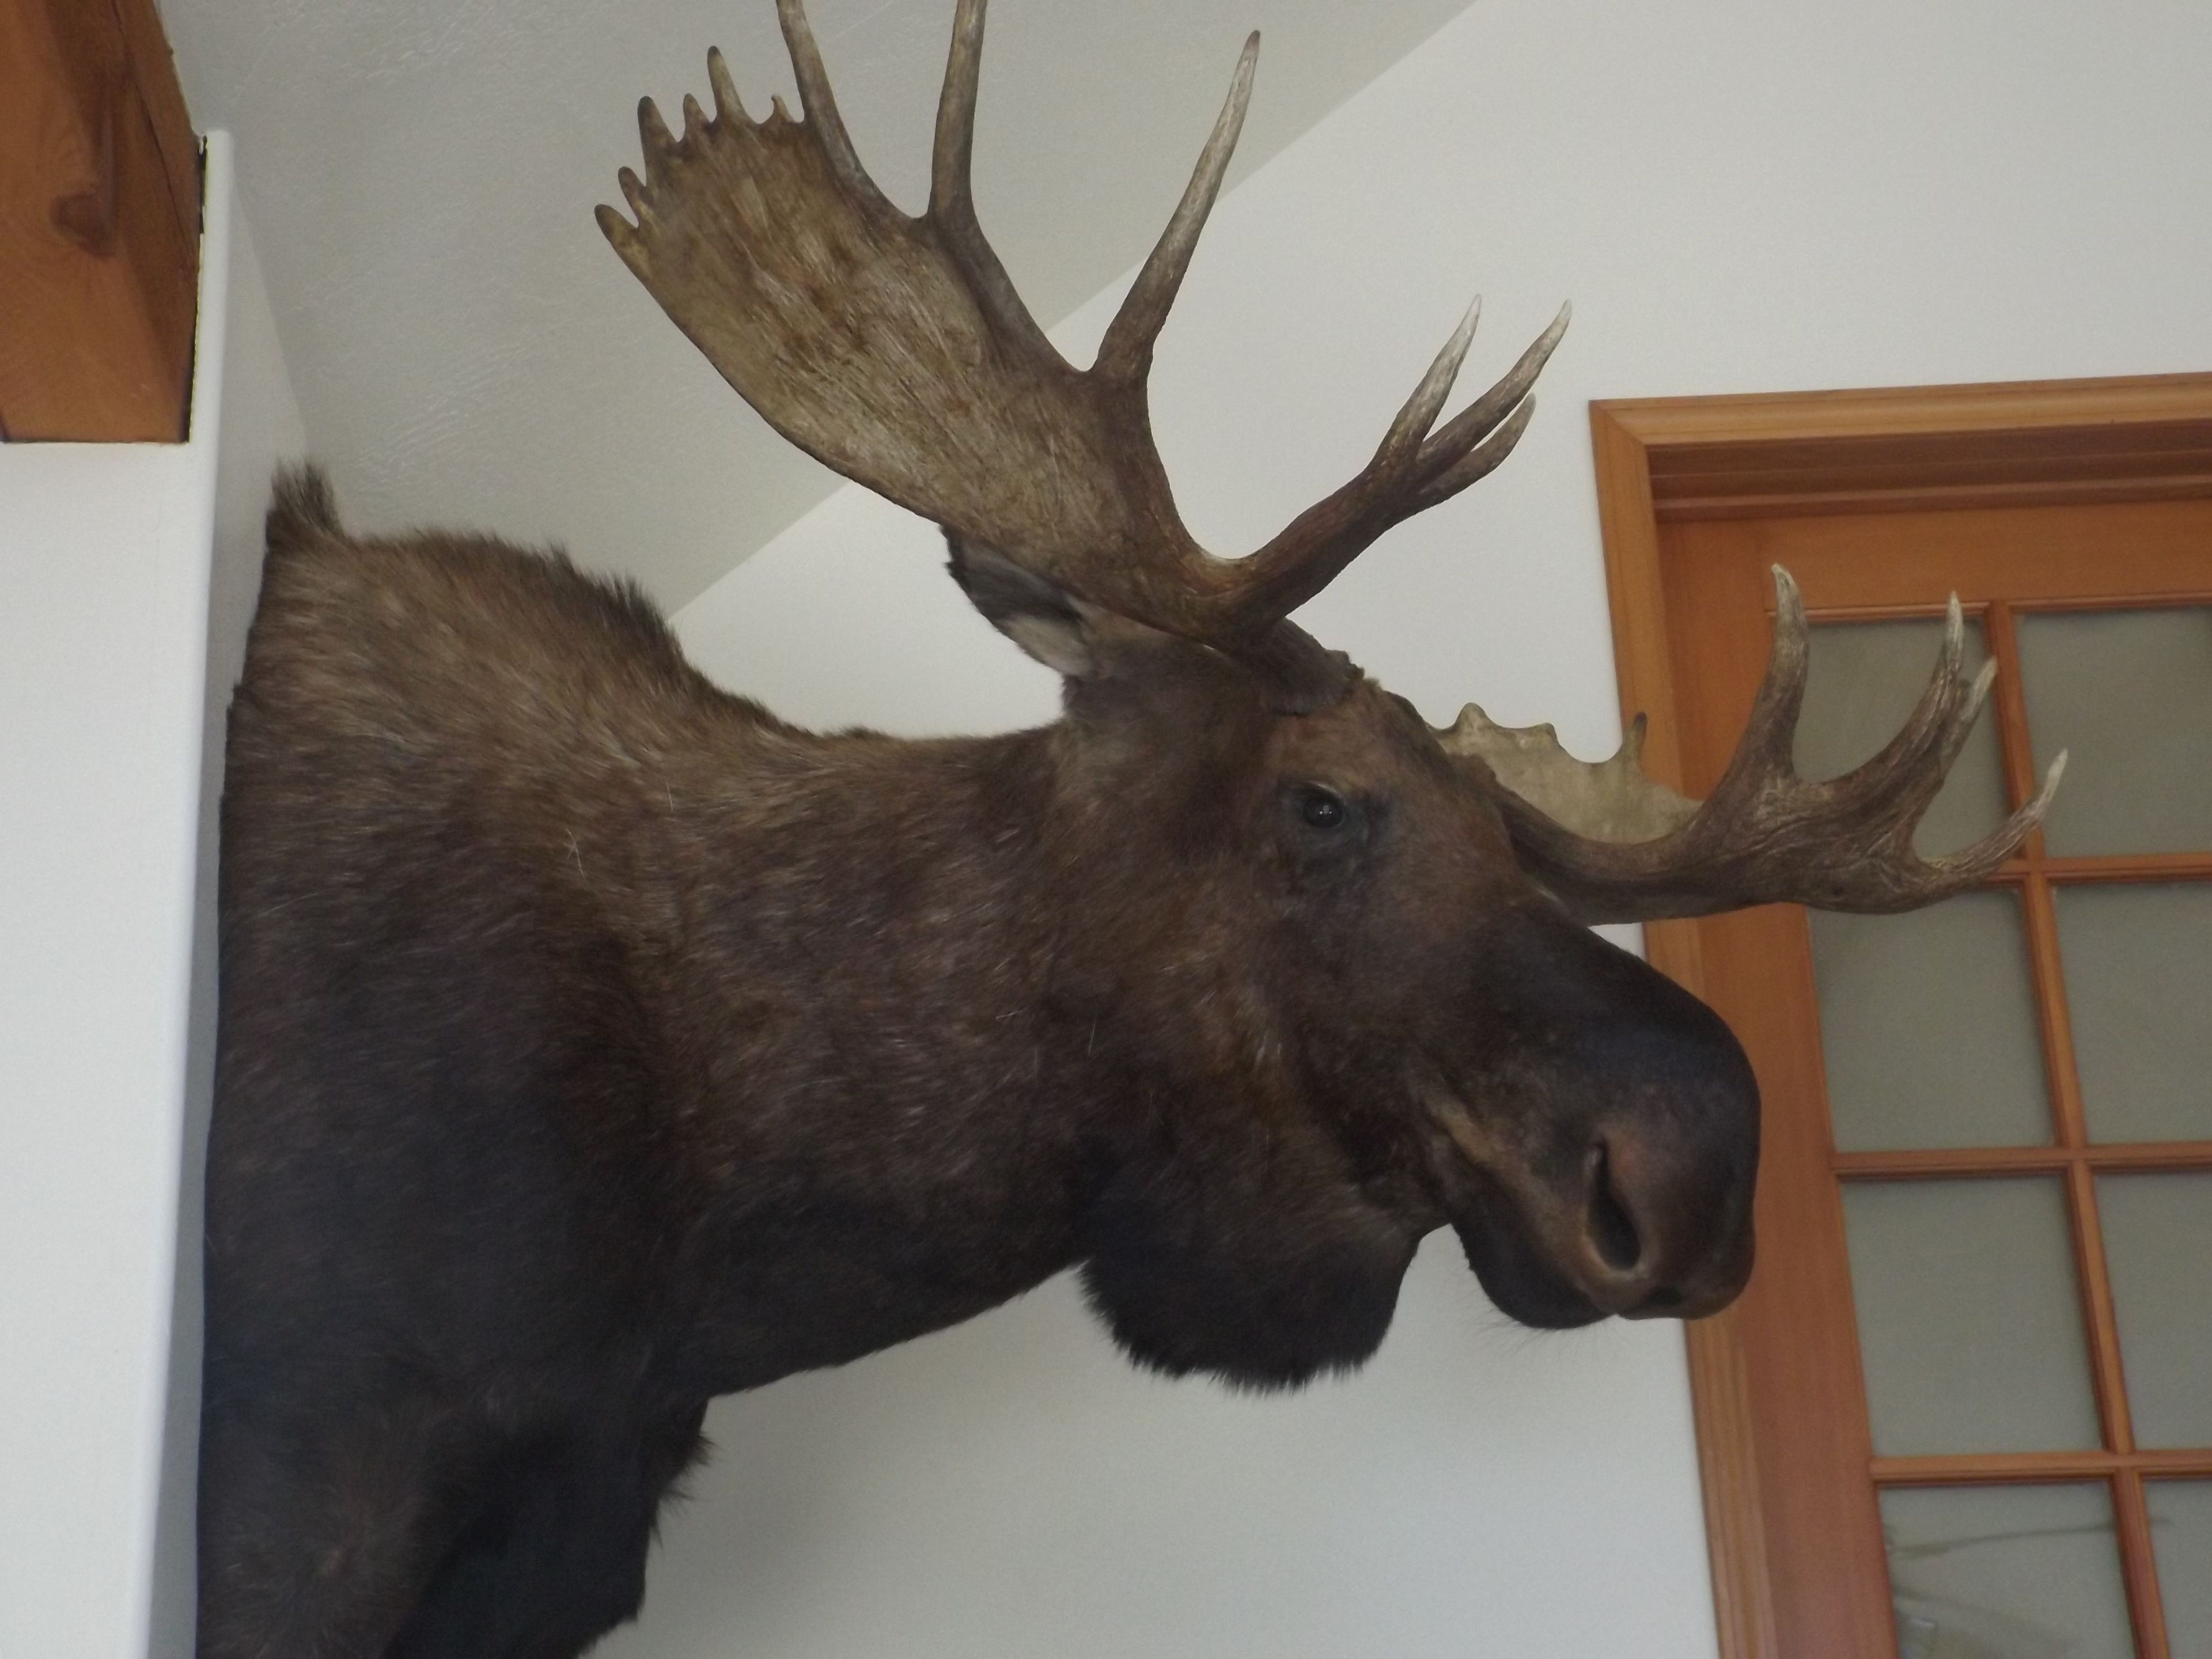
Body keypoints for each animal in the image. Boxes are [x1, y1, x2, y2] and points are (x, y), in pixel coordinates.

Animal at [194, 1, 2063, 1654]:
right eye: (1323, 799)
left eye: (1522, 849)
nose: (1691, 1169)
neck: (728, 1244)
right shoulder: (299, 1471)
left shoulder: (562, 1536)